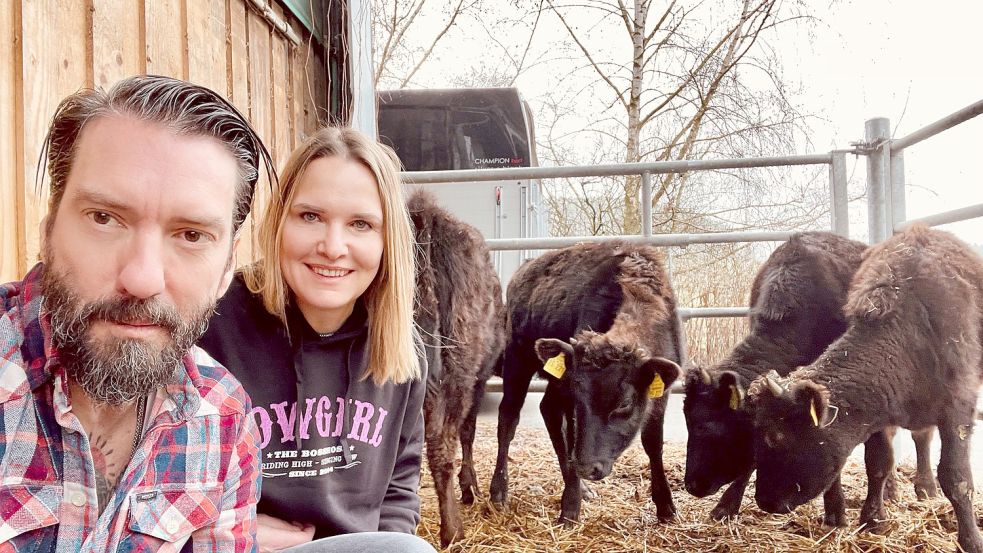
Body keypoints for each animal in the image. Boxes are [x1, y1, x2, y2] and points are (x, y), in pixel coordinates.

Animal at [406, 189, 504, 544]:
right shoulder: (479, 378)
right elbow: (468, 430)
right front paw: (469, 485)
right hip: (455, 374)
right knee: (442, 444)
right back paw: (453, 530)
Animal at [490, 240, 684, 520]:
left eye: (625, 403)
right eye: (578, 397)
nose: (588, 468)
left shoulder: (661, 397)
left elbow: (653, 443)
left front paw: (666, 506)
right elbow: (572, 436)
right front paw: (570, 509)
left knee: (548, 410)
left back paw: (583, 489)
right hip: (518, 362)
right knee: (509, 416)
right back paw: (498, 491)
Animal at [748, 224, 980, 552]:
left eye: (774, 436)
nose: (764, 500)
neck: (907, 339)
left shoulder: (957, 411)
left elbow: (956, 477)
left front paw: (970, 539)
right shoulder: (880, 417)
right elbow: (878, 463)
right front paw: (874, 520)